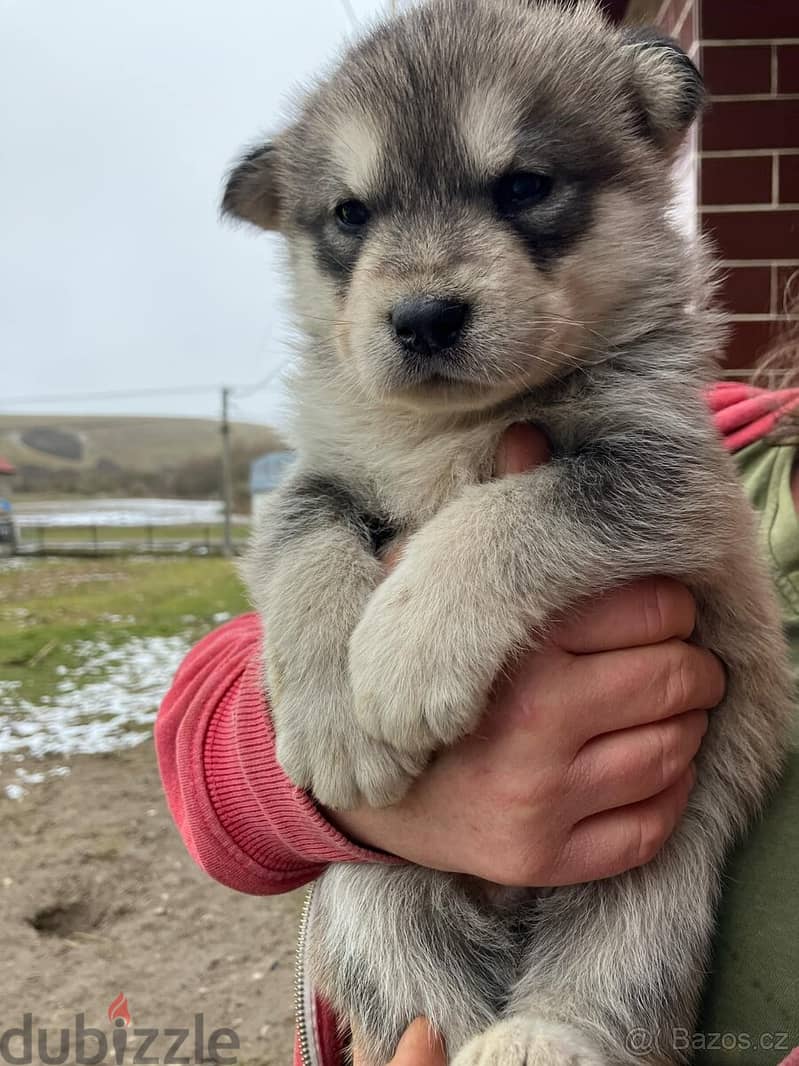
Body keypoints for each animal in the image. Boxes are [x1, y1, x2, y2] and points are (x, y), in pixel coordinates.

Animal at [223, 2, 796, 1066]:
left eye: (523, 186)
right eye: (350, 215)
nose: (422, 317)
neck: (454, 426)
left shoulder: (662, 479)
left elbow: (505, 513)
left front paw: (404, 654)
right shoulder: (308, 480)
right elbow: (306, 549)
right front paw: (332, 714)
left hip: (657, 867)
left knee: (612, 974)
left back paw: (542, 1033)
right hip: (372, 892)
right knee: (425, 997)